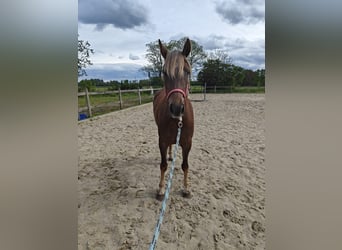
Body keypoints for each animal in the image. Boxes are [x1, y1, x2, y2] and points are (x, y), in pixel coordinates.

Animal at [153, 38, 194, 200]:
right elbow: (163, 165)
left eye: (187, 71)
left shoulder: (187, 143)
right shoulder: (162, 141)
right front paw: (161, 189)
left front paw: (186, 188)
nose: (176, 108)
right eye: (164, 72)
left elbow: (185, 165)